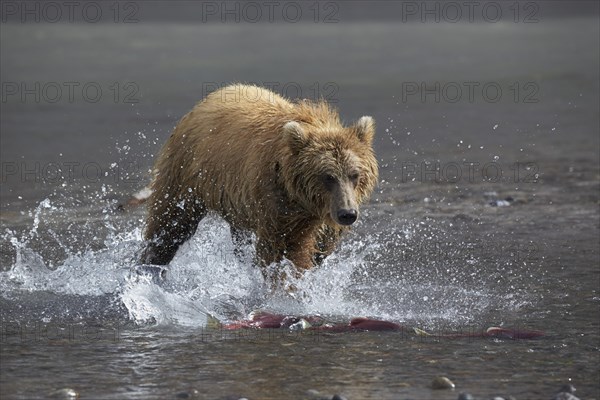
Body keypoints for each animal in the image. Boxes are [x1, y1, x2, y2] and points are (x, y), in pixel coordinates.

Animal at [141, 85, 378, 282]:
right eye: (327, 176)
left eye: (355, 174)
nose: (347, 213)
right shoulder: (278, 206)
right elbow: (281, 250)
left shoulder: (323, 222)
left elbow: (319, 249)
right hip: (186, 173)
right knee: (170, 224)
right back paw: (150, 264)